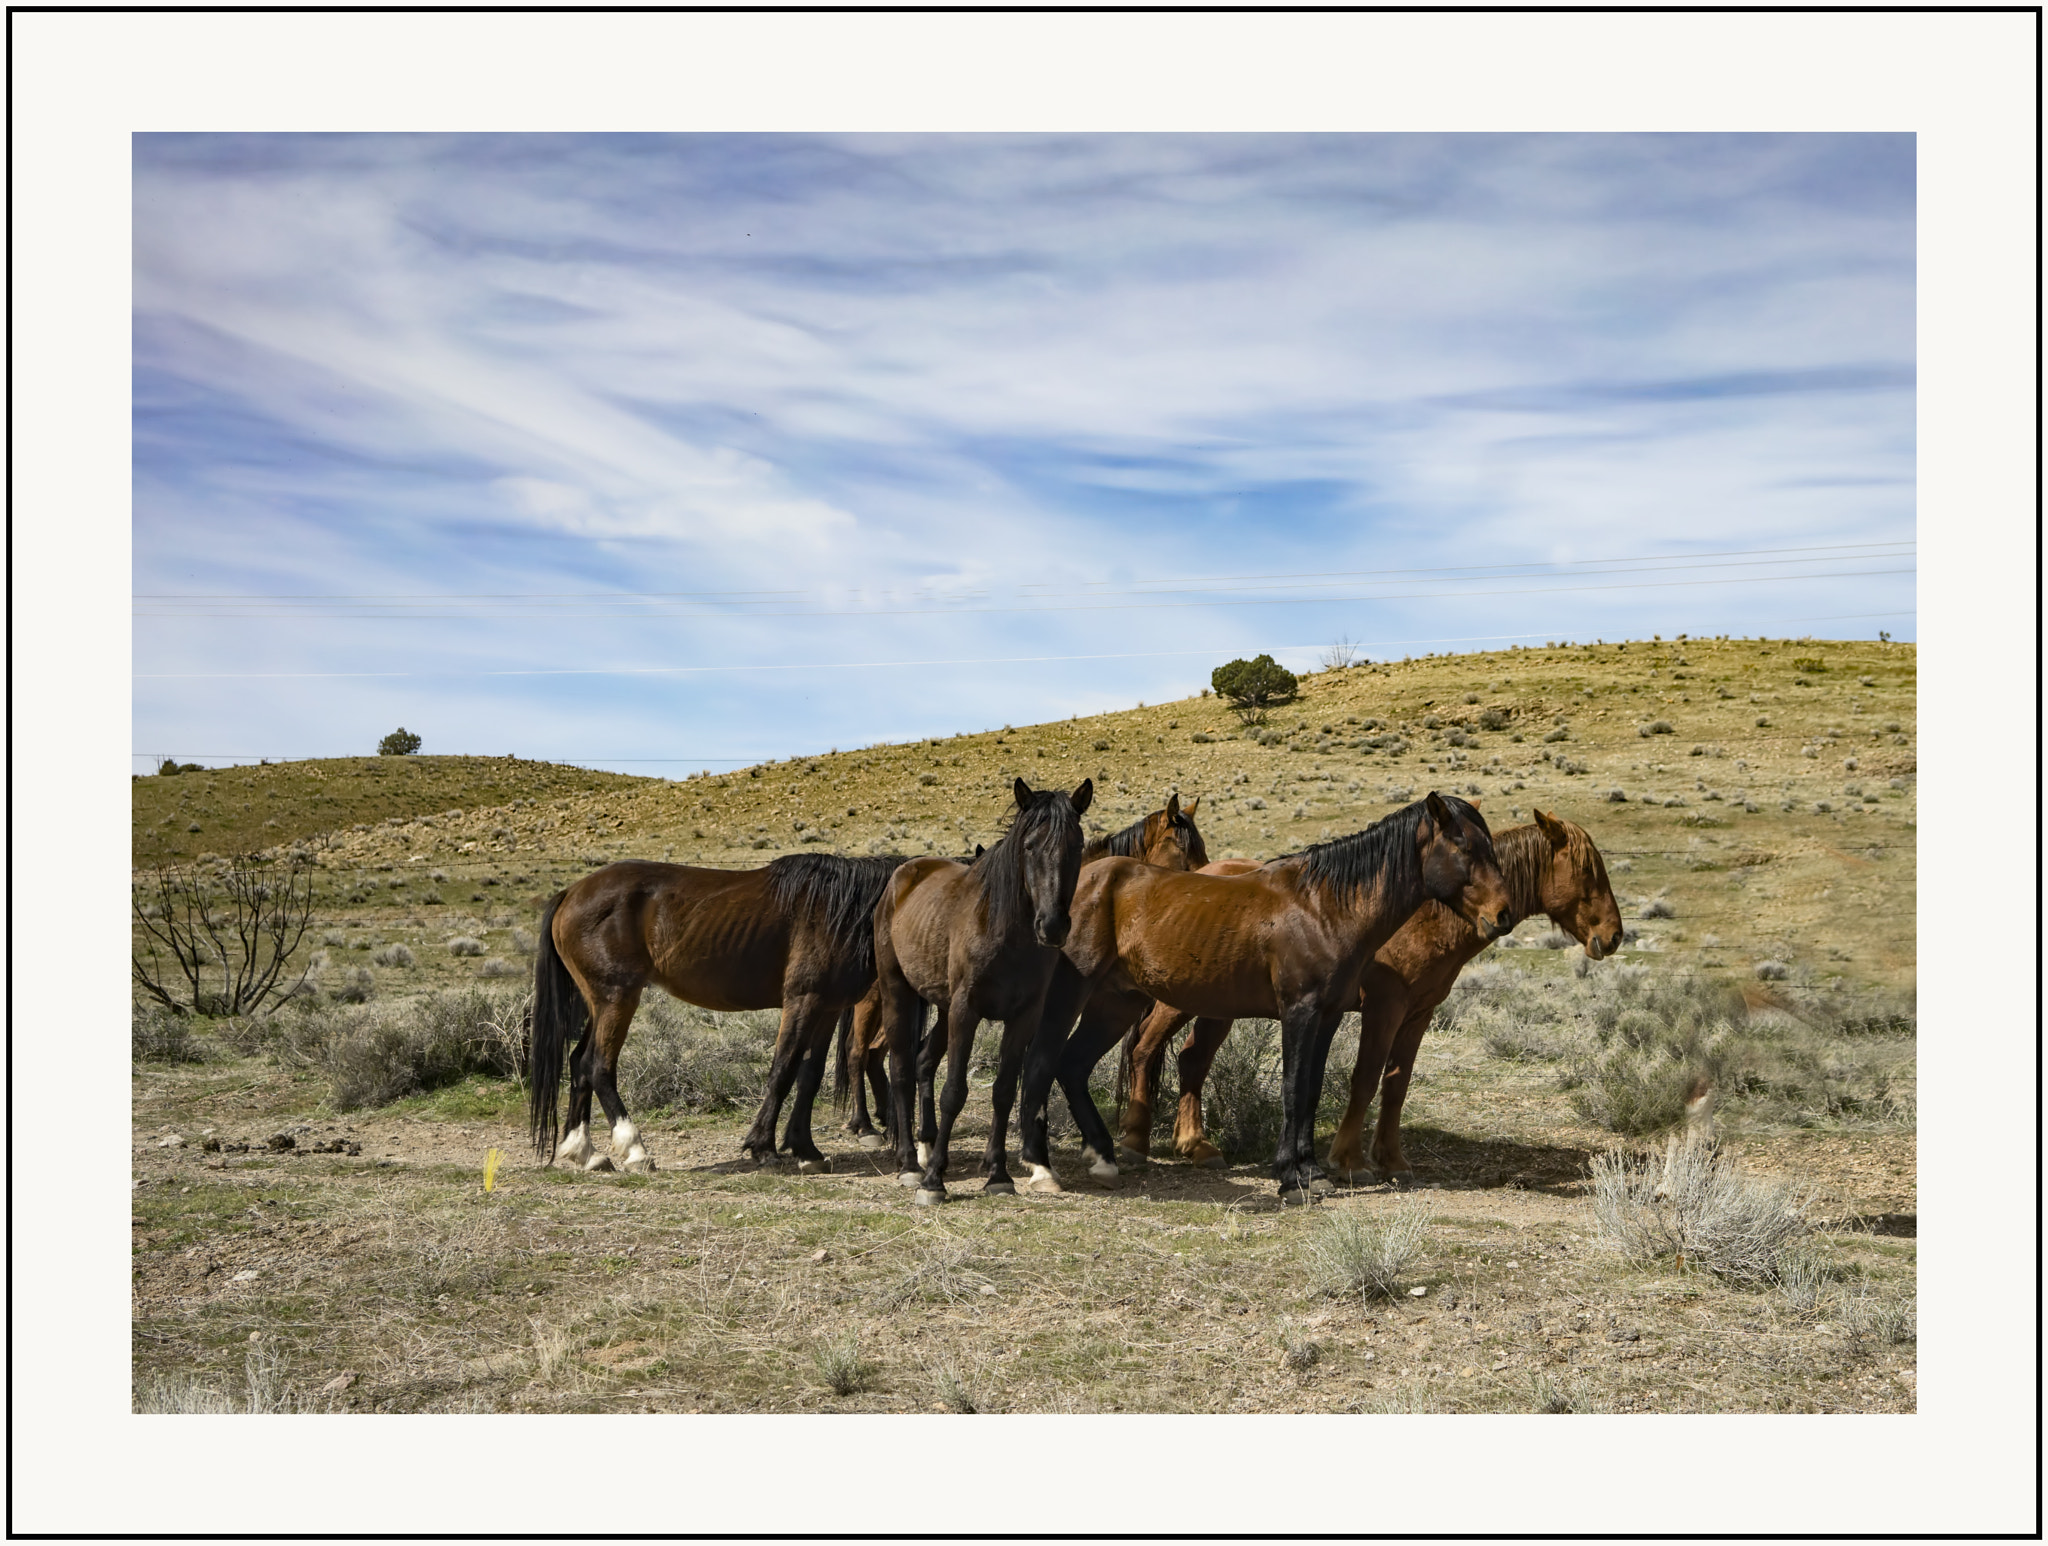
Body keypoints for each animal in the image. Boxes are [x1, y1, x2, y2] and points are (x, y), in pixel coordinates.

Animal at [528, 847, 905, 1171]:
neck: (839, 910)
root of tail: (571, 893)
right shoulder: (803, 1000)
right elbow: (783, 1070)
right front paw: (763, 1147)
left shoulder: (827, 1008)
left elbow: (809, 1075)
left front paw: (806, 1150)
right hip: (617, 998)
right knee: (598, 1065)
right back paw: (635, 1150)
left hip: (599, 1002)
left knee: (579, 1062)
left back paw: (585, 1152)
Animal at [835, 798, 1204, 1146]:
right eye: (1183, 849)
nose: (1207, 879)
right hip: (882, 999)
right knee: (860, 1051)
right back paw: (866, 1124)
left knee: (908, 1056)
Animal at [872, 778, 1097, 1204]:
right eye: (1029, 846)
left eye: (1077, 845)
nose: (1052, 926)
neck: (1005, 933)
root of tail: (904, 874)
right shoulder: (967, 1011)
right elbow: (954, 1091)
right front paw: (934, 1181)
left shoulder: (1023, 1017)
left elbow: (1004, 1091)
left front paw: (998, 1174)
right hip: (899, 992)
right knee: (901, 1068)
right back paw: (910, 1164)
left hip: (942, 1007)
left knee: (923, 1060)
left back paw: (926, 1149)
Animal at [1019, 790, 1515, 1204]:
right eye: (1463, 847)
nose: (1502, 915)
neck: (1323, 906)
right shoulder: (1299, 1011)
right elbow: (1293, 1089)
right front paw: (1290, 1178)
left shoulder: (1328, 1016)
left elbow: (1311, 1089)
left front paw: (1311, 1171)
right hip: (1077, 995)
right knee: (1047, 1060)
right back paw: (1046, 1166)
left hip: (1115, 1003)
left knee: (1074, 1064)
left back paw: (1104, 1159)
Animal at [1122, 810, 1613, 1187]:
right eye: (1588, 872)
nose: (1613, 936)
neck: (1421, 914)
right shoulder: (1383, 1008)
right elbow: (1365, 1079)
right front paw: (1349, 1162)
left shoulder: (1417, 1013)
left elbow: (1396, 1084)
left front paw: (1392, 1161)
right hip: (1178, 999)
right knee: (1145, 1049)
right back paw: (1135, 1143)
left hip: (1218, 1006)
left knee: (1192, 1059)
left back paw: (1196, 1146)